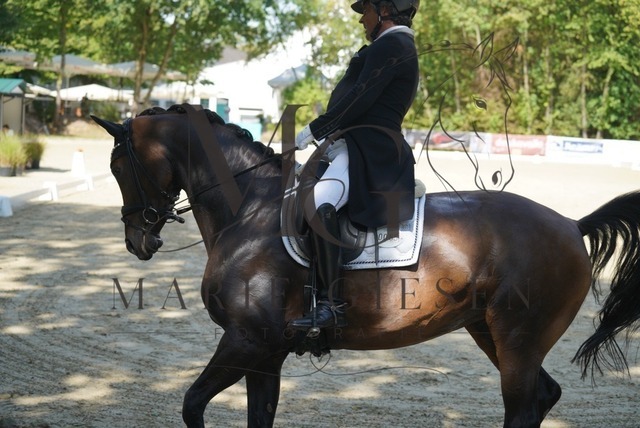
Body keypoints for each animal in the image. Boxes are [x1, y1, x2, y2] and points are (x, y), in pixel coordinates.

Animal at [92, 104, 640, 427]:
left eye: (119, 167)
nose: (138, 240)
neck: (251, 208)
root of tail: (571, 223)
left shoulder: (247, 341)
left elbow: (191, 404)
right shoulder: (265, 353)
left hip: (518, 338)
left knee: (523, 407)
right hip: (491, 332)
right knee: (543, 396)